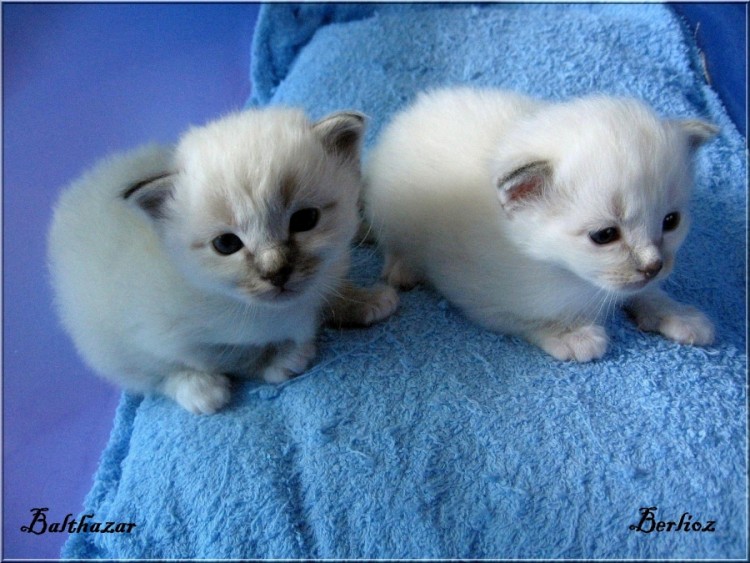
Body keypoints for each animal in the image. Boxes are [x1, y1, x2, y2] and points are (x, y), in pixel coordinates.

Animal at [48, 108, 400, 414]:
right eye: (226, 244)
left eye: (305, 220)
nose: (276, 272)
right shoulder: (175, 336)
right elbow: (235, 355)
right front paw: (283, 359)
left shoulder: (324, 274)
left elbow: (331, 294)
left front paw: (366, 301)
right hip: (108, 344)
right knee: (152, 378)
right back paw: (200, 390)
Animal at [368, 87, 720, 362]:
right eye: (605, 235)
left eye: (671, 221)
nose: (654, 266)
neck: (572, 278)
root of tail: (413, 109)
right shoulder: (477, 292)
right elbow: (528, 318)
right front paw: (571, 334)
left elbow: (645, 293)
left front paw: (677, 313)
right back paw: (403, 268)